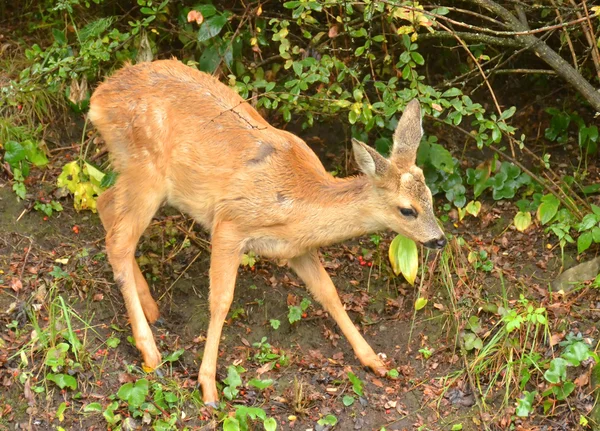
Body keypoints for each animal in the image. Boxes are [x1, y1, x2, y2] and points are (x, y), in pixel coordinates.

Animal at [89, 59, 446, 406]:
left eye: (430, 198)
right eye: (407, 210)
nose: (439, 239)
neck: (301, 200)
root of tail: (99, 97)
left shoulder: (297, 249)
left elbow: (329, 292)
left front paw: (374, 361)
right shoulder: (229, 223)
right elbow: (221, 300)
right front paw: (208, 388)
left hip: (135, 172)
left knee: (103, 202)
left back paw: (152, 309)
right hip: (146, 171)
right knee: (118, 241)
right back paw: (151, 353)